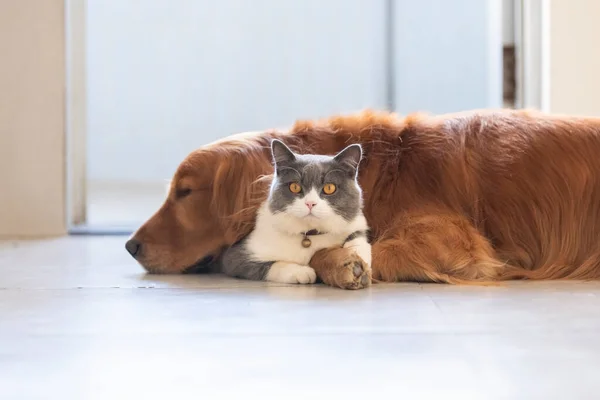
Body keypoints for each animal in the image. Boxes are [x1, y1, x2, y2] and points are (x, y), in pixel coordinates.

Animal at [220, 141, 370, 284]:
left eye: (329, 188)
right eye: (294, 186)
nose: (310, 203)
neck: (308, 235)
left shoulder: (356, 222)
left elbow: (357, 234)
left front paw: (359, 256)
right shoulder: (235, 256)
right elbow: (271, 264)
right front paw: (301, 272)